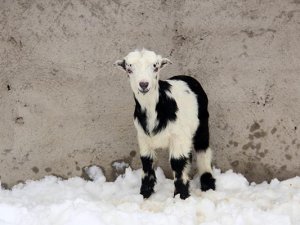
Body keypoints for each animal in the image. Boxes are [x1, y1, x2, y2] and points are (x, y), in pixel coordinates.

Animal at [113, 48, 214, 199]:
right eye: (129, 70)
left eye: (155, 67)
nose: (144, 84)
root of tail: (187, 77)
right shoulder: (143, 136)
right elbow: (146, 162)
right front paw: (144, 193)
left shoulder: (178, 136)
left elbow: (177, 162)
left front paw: (181, 196)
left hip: (202, 123)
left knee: (203, 150)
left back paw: (208, 185)